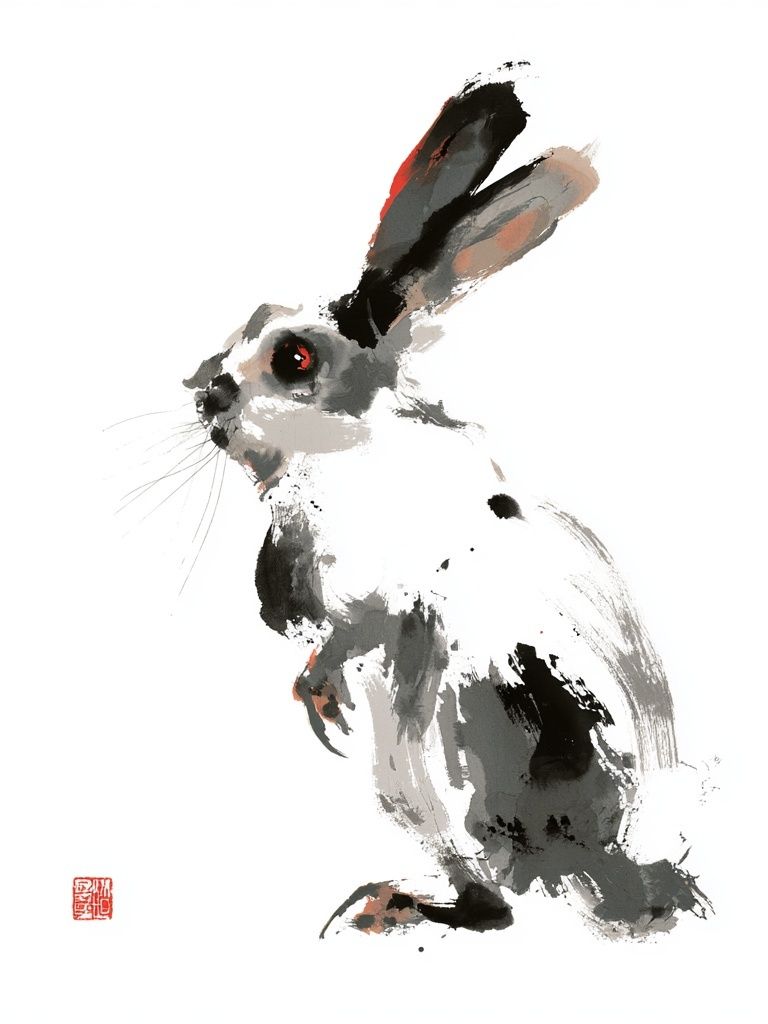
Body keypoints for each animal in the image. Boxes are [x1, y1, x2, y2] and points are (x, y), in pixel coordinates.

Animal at [182, 67, 707, 938]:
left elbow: (360, 624)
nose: (205, 396)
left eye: (294, 359)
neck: (345, 453)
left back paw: (393, 906)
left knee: (496, 903)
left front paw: (317, 690)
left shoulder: (403, 579)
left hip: (474, 731)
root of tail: (627, 869)